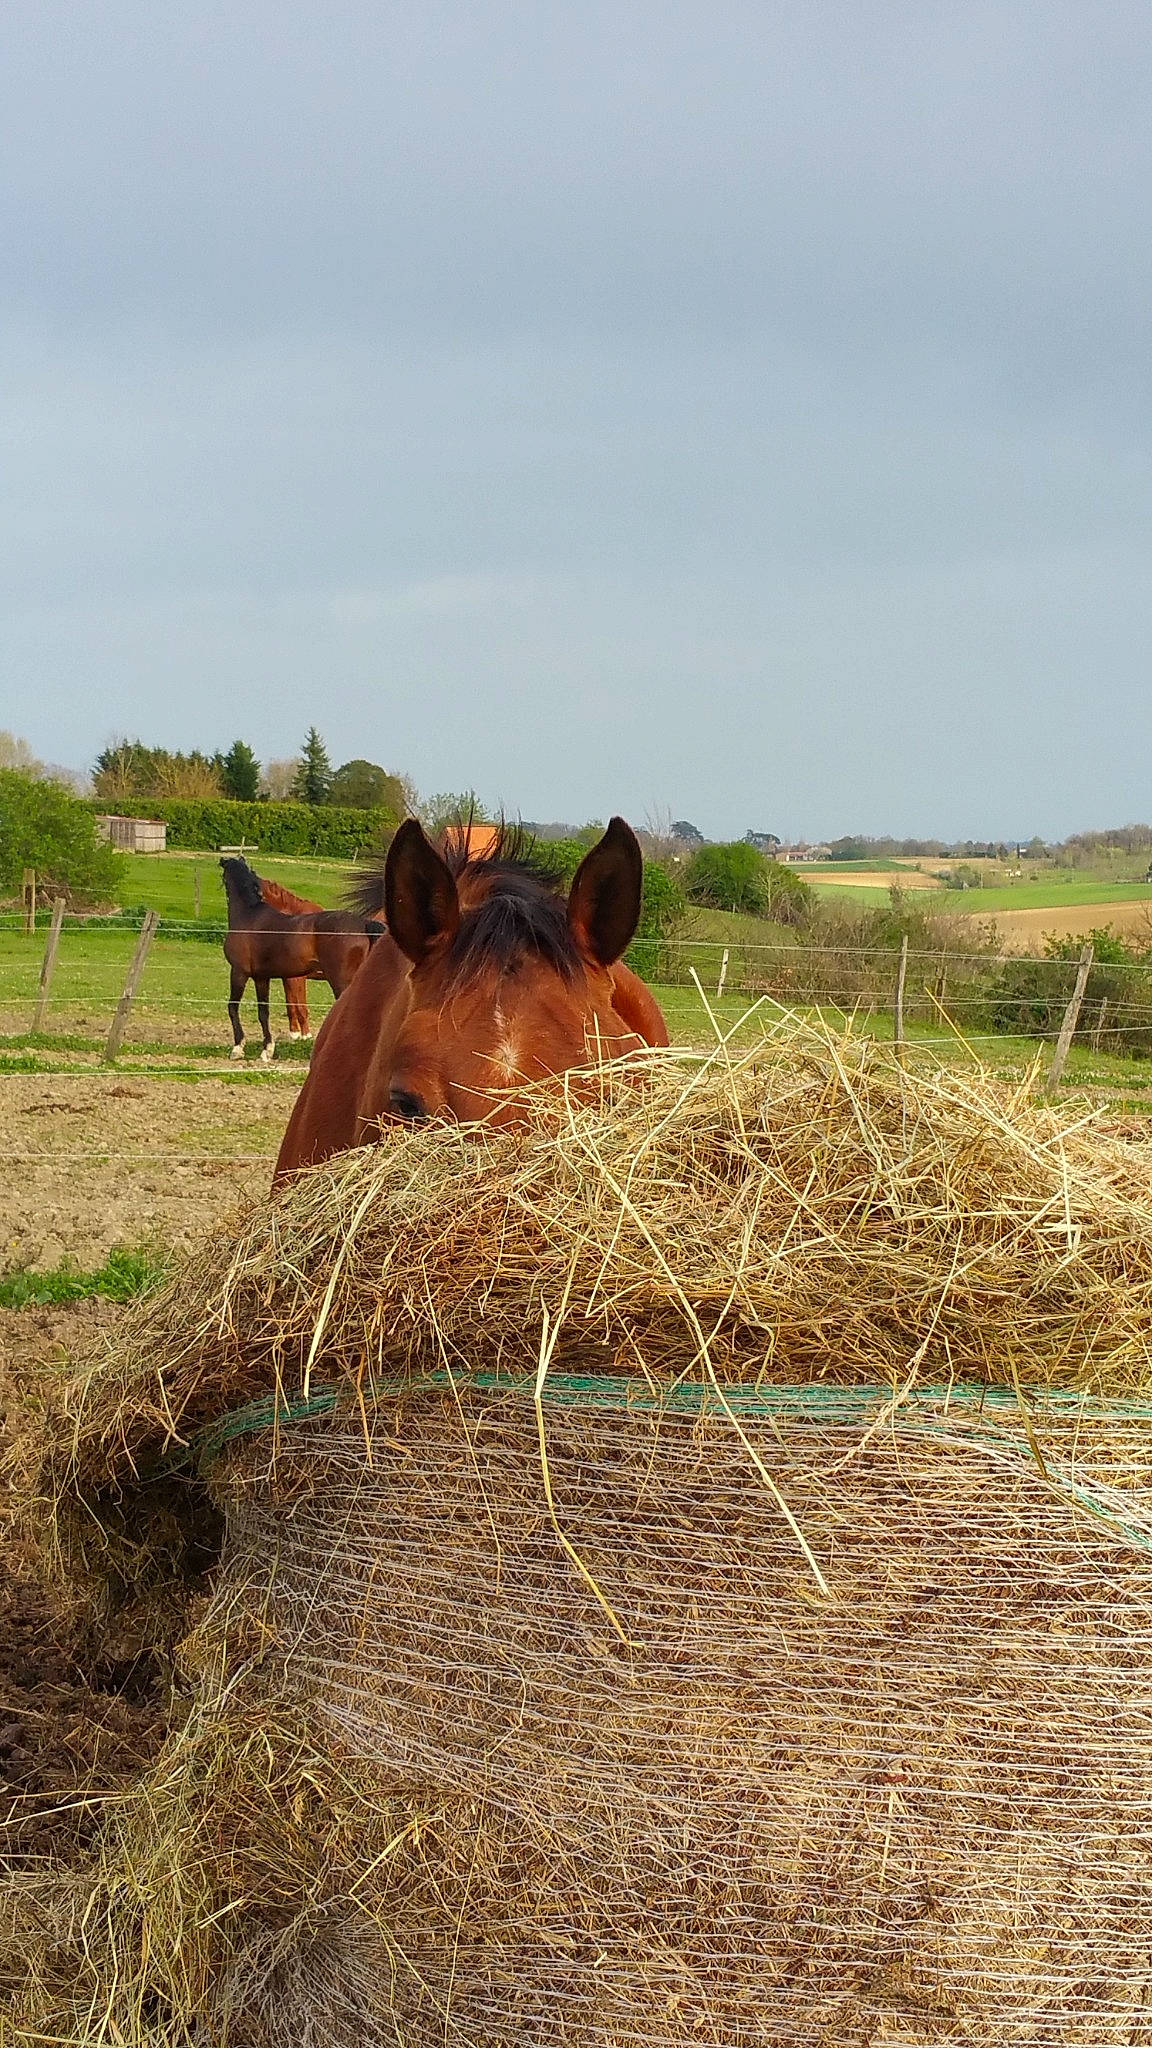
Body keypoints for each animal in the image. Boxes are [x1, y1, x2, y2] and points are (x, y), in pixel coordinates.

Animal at [219, 858, 378, 1063]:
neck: (249, 915)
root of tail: (364, 924)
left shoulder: (239, 972)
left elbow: (233, 1006)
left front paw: (238, 1048)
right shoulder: (262, 977)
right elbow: (264, 1012)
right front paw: (267, 1050)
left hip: (342, 982)